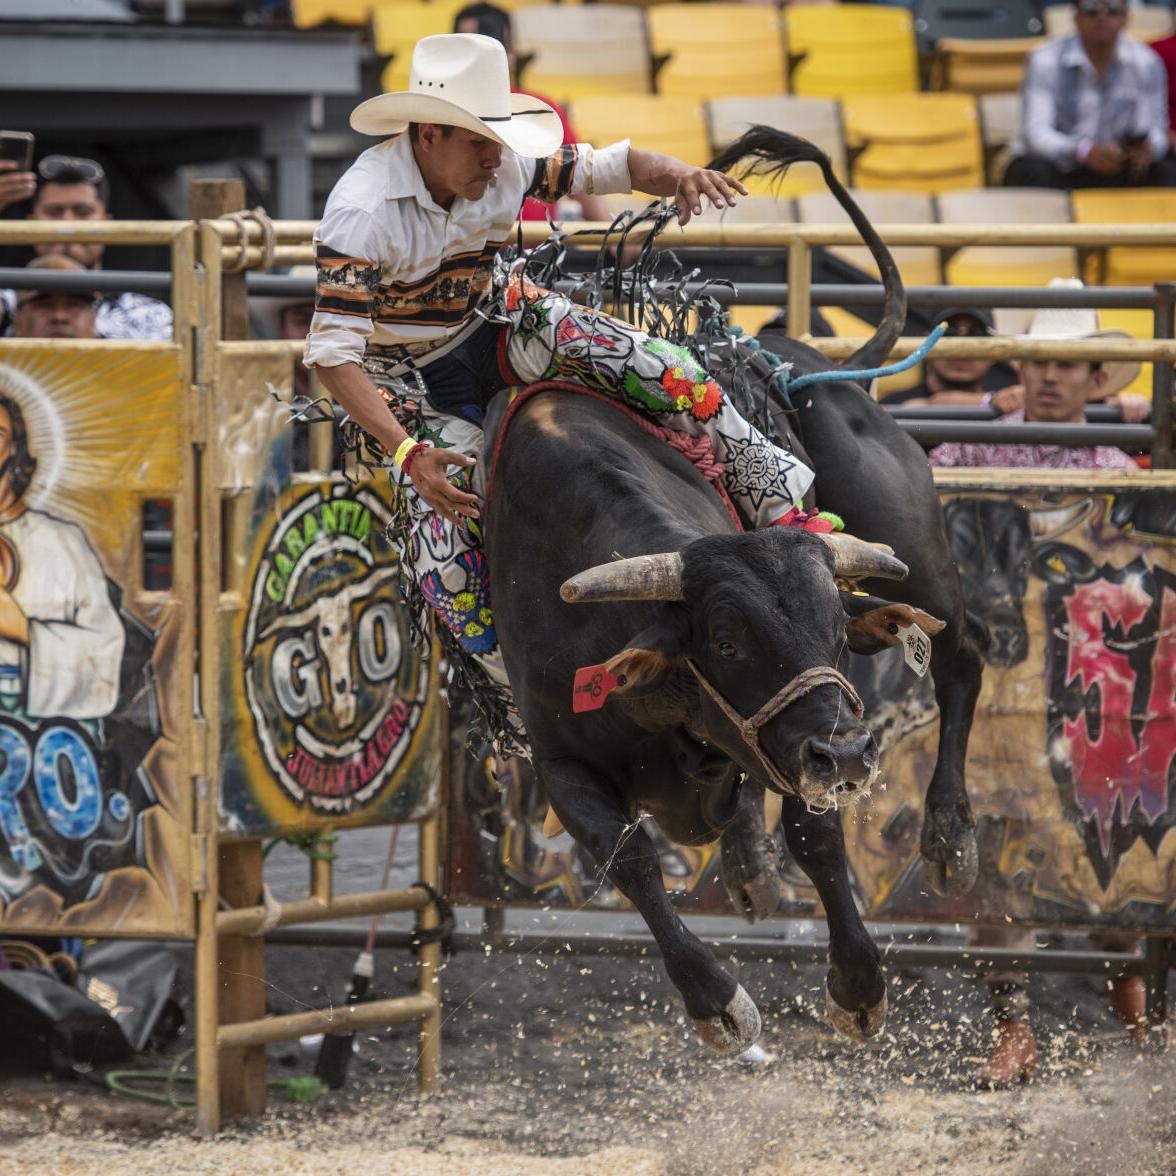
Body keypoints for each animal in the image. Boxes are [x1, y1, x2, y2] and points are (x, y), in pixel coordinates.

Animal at [477, 131, 983, 1058]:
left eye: (833, 629)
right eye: (724, 640)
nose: (849, 757)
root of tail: (817, 367)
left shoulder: (805, 735)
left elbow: (816, 831)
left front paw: (858, 984)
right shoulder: (562, 761)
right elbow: (634, 863)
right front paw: (714, 999)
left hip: (914, 548)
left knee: (963, 659)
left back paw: (948, 835)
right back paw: (750, 865)